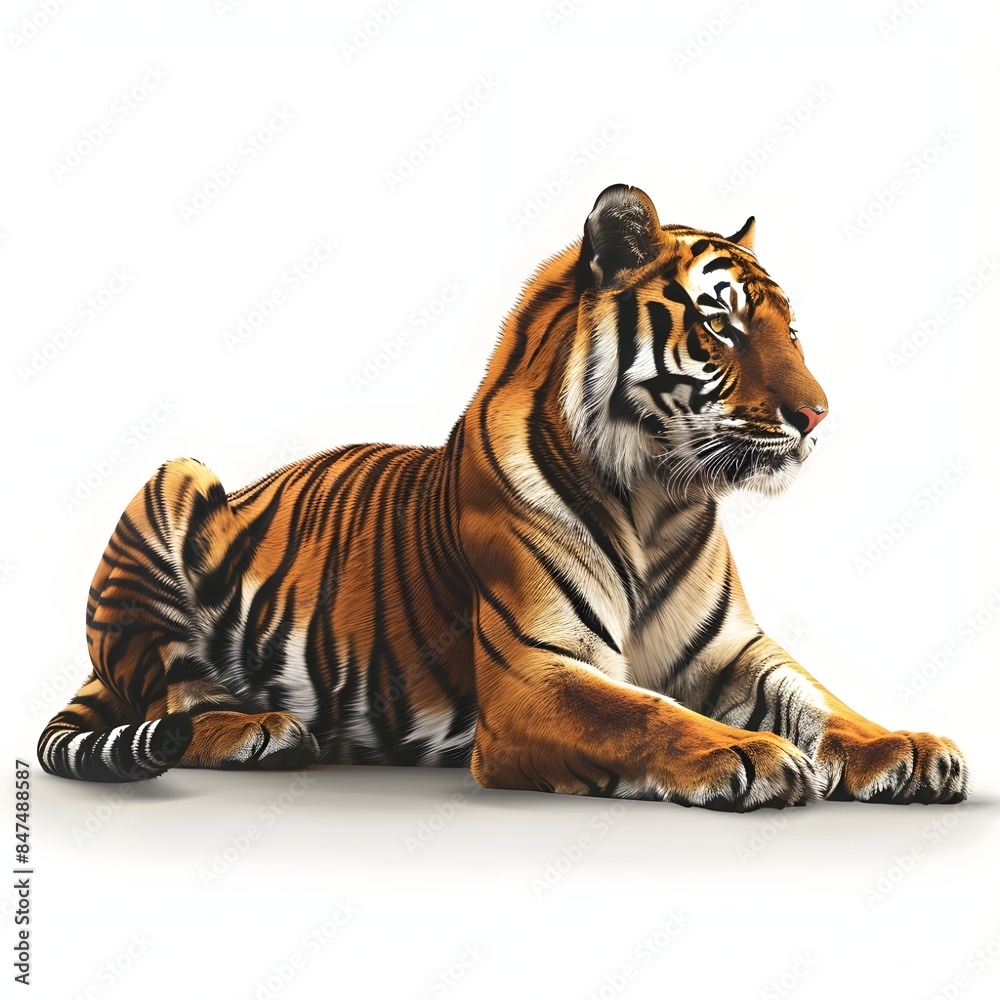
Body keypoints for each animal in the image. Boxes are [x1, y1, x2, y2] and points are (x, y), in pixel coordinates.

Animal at [38, 183, 968, 810]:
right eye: (721, 324)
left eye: (791, 329)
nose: (817, 415)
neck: (659, 498)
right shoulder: (536, 669)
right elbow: (646, 715)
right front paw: (753, 753)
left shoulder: (736, 651)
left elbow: (824, 703)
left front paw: (910, 748)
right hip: (176, 477)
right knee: (169, 702)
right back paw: (259, 730)